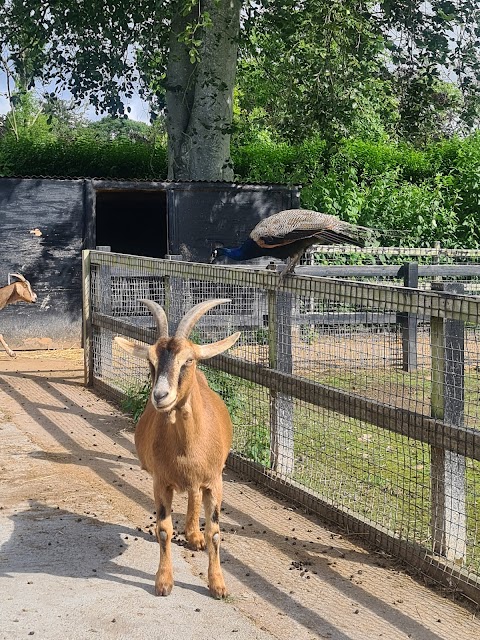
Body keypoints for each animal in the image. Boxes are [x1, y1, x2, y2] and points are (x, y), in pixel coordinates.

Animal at [113, 298, 240, 596]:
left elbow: (215, 532)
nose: (160, 396)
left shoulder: (215, 480)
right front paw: (163, 581)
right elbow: (163, 529)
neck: (187, 448)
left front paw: (218, 585)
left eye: (188, 360)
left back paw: (194, 536)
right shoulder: (161, 482)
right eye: (151, 360)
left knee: (195, 495)